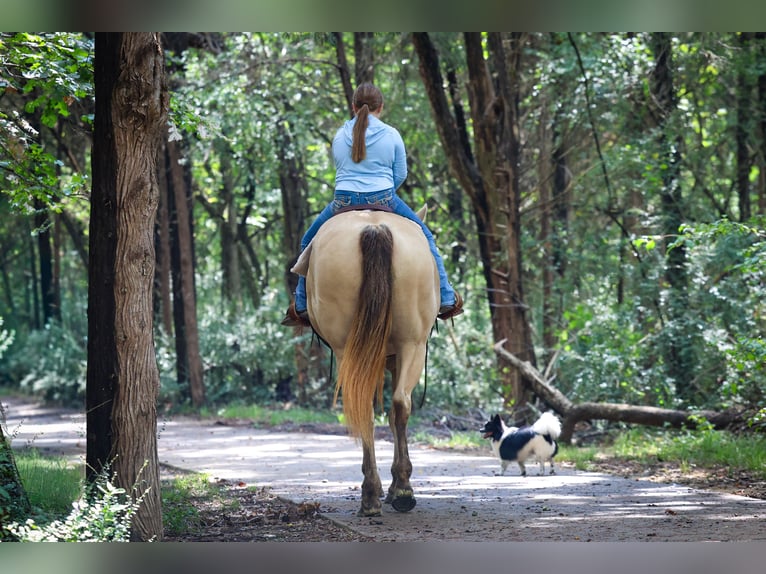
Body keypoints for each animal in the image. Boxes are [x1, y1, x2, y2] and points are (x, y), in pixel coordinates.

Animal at [291, 207, 439, 516]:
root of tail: (375, 228)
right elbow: (394, 415)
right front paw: (394, 486)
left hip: (352, 349)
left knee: (370, 410)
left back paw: (375, 494)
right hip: (411, 344)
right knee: (397, 405)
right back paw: (397, 491)